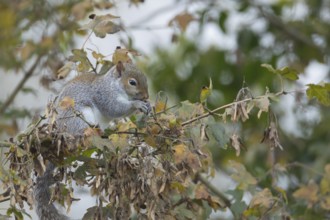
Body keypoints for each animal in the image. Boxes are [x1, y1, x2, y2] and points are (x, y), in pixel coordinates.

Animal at [34, 61, 150, 219]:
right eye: (132, 82)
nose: (146, 96)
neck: (114, 85)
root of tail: (60, 135)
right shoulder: (104, 95)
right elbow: (114, 109)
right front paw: (137, 105)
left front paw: (148, 105)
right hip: (79, 118)